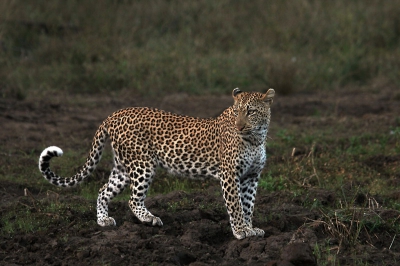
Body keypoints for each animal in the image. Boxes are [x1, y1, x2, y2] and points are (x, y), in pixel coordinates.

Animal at [38, 88, 276, 240]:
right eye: (236, 112)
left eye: (251, 111)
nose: (239, 126)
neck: (256, 138)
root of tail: (114, 114)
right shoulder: (229, 174)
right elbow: (236, 205)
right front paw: (241, 231)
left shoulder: (251, 176)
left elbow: (248, 205)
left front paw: (251, 228)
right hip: (142, 164)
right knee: (133, 199)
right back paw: (149, 219)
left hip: (123, 168)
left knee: (103, 190)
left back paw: (103, 221)